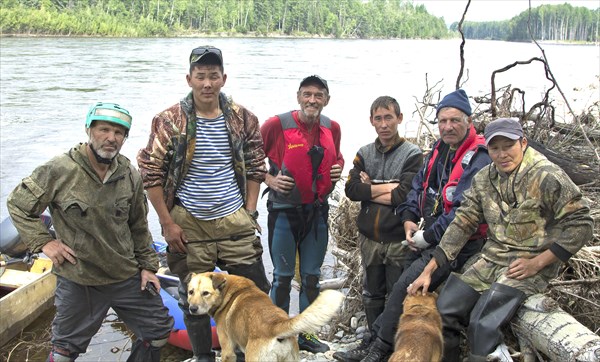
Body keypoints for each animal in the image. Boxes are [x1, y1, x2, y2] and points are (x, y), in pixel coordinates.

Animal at [185, 272, 344, 362]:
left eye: (205, 293)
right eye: (190, 292)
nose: (192, 309)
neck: (229, 292)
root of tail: (276, 325)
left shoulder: (228, 350)